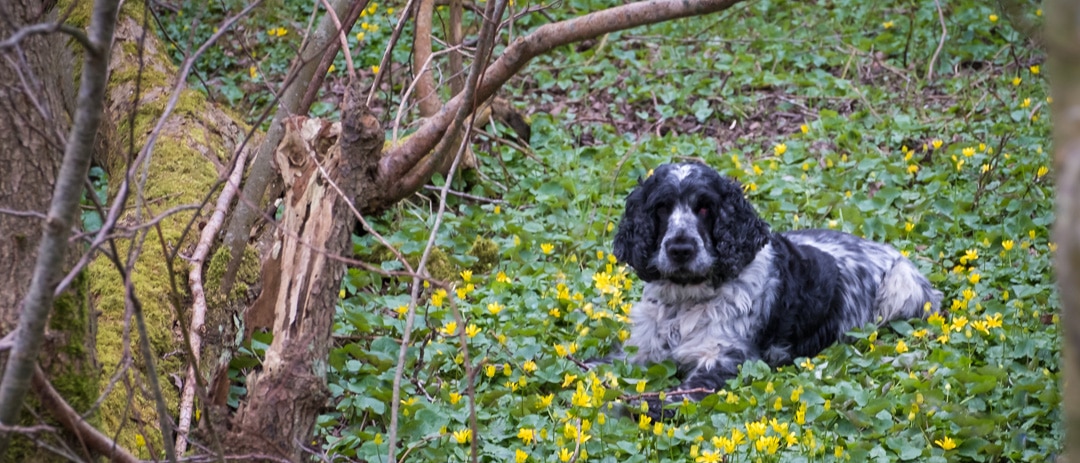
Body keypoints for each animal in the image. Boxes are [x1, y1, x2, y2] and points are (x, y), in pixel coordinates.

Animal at [613, 160, 941, 412]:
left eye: (705, 208)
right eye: (662, 208)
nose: (680, 249)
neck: (685, 301)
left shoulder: (726, 357)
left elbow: (681, 394)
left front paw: (637, 407)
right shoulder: (639, 350)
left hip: (901, 287)